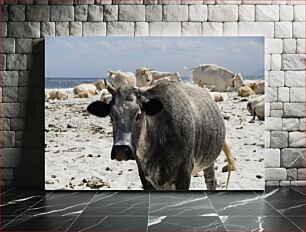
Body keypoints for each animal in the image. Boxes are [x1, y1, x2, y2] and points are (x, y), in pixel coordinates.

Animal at [87, 81, 228, 190]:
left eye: (138, 115)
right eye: (111, 116)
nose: (121, 149)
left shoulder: (184, 173)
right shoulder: (145, 177)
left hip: (209, 161)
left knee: (211, 182)